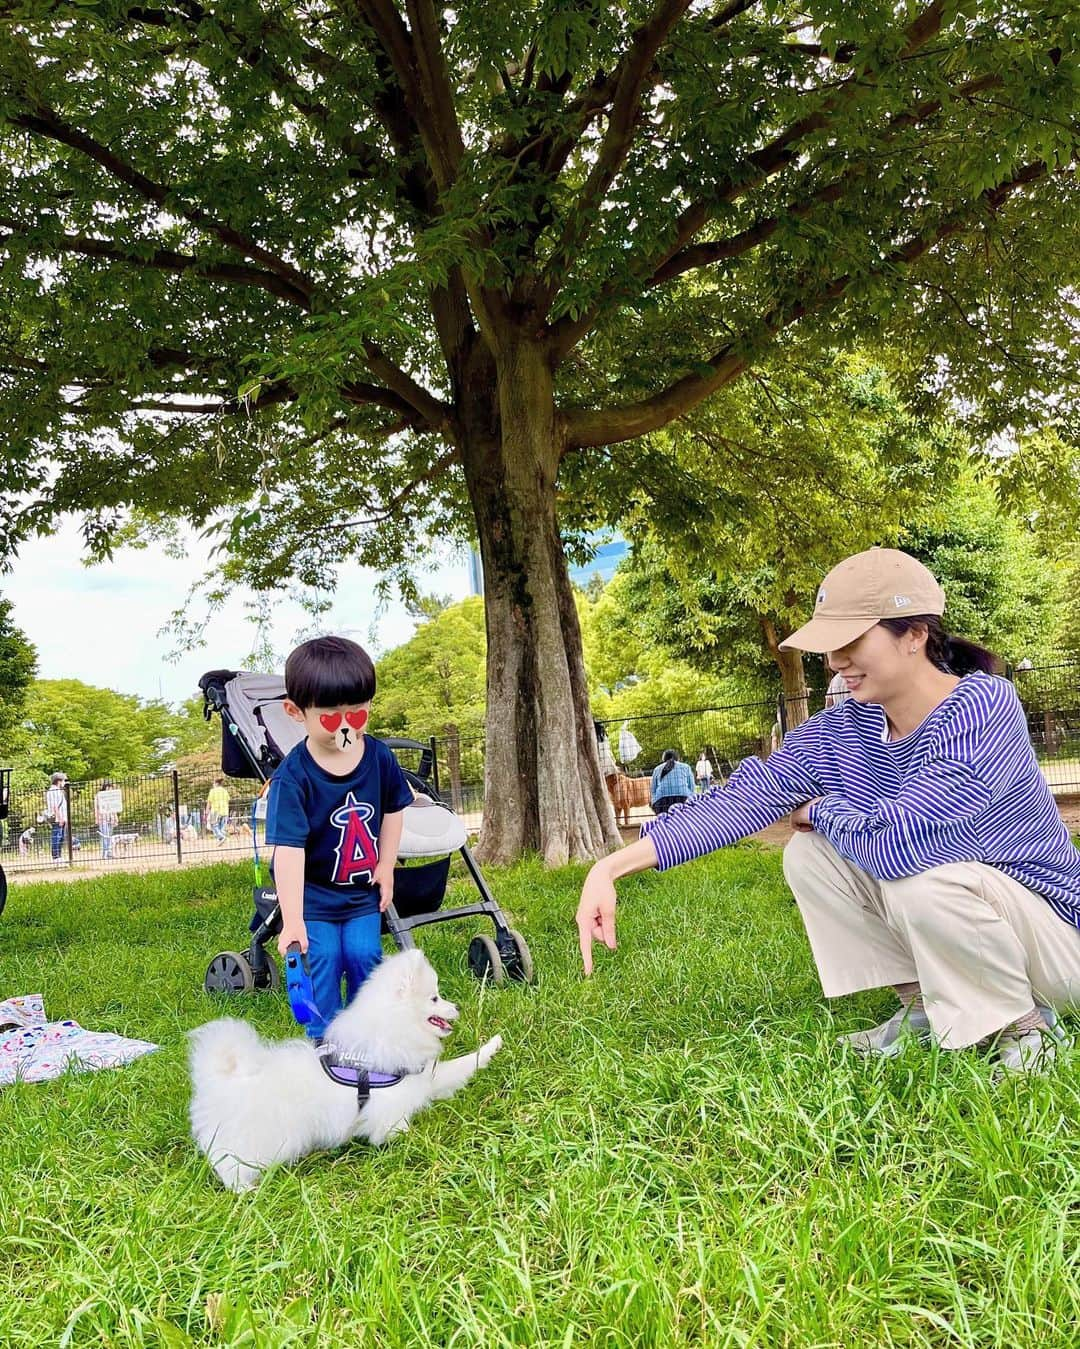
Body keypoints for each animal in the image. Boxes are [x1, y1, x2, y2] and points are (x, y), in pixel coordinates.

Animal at [188, 949, 501, 1192]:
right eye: (435, 998)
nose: (457, 1006)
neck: (395, 1029)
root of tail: (217, 1077)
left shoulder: (424, 1082)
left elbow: (463, 1064)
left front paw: (493, 1045)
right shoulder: (389, 1115)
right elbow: (400, 1132)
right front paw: (421, 1142)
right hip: (256, 1140)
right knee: (231, 1164)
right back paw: (245, 1190)